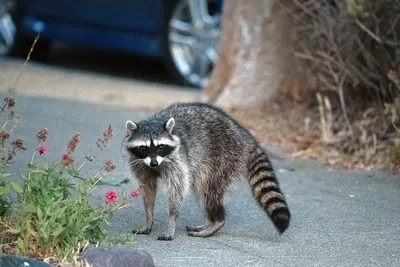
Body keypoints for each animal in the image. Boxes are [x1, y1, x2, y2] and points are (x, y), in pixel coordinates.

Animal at [122, 102, 290, 241]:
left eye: (160, 147)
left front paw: (171, 221)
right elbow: (148, 188)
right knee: (202, 191)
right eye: (144, 148)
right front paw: (148, 218)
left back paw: (216, 221)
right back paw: (209, 222)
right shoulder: (140, 163)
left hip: (223, 159)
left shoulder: (178, 159)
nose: (154, 163)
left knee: (207, 190)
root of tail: (246, 137)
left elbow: (177, 189)